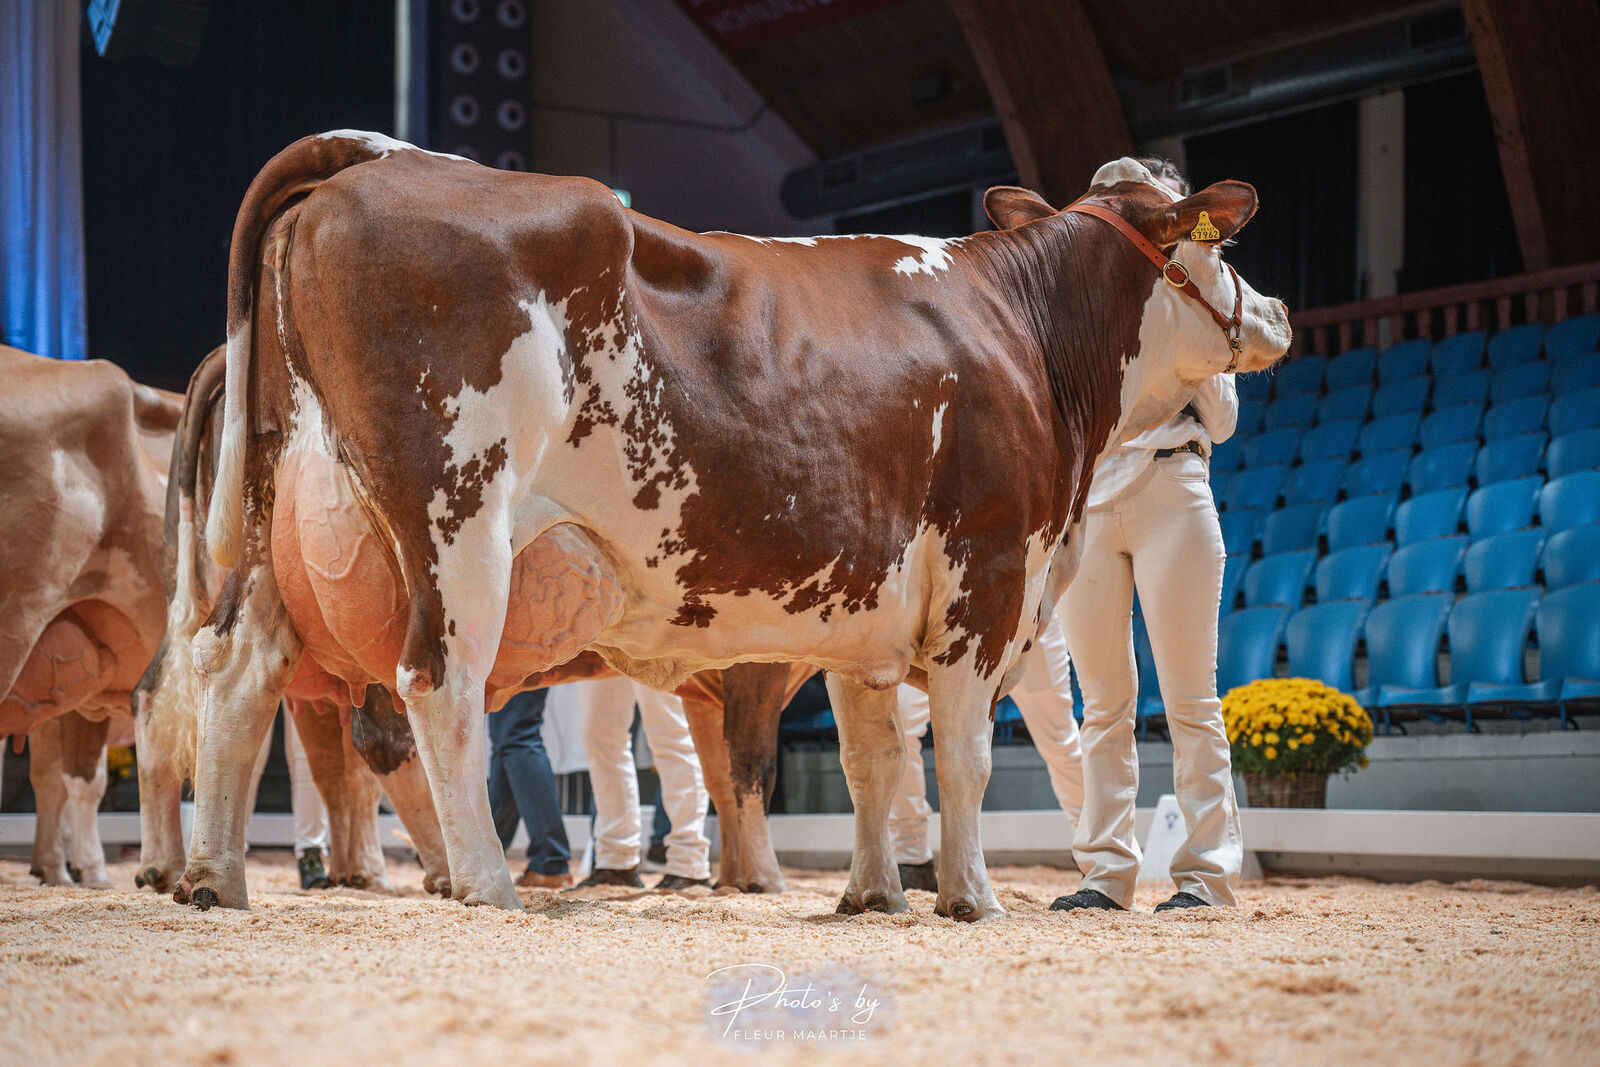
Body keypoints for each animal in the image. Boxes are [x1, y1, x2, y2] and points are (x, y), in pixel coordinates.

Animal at [177, 132, 1289, 918]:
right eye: (1221, 245)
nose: (1277, 312)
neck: (1027, 331)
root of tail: (378, 157)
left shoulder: (868, 604)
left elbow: (873, 759)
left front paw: (872, 893)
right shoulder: (988, 566)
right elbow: (963, 753)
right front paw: (967, 895)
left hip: (283, 532)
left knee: (235, 674)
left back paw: (215, 877)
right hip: (458, 522)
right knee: (436, 686)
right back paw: (484, 882)